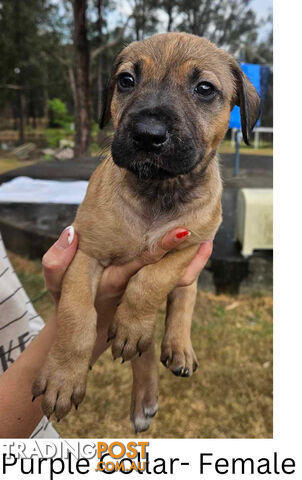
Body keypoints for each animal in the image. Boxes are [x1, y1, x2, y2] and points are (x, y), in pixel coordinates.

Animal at [32, 32, 260, 432]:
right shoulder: (86, 253)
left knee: (180, 303)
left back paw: (176, 347)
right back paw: (143, 396)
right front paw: (62, 378)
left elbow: (151, 281)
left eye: (204, 89)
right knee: (142, 344)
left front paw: (135, 320)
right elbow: (77, 317)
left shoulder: (190, 246)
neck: (158, 190)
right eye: (126, 81)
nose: (147, 135)